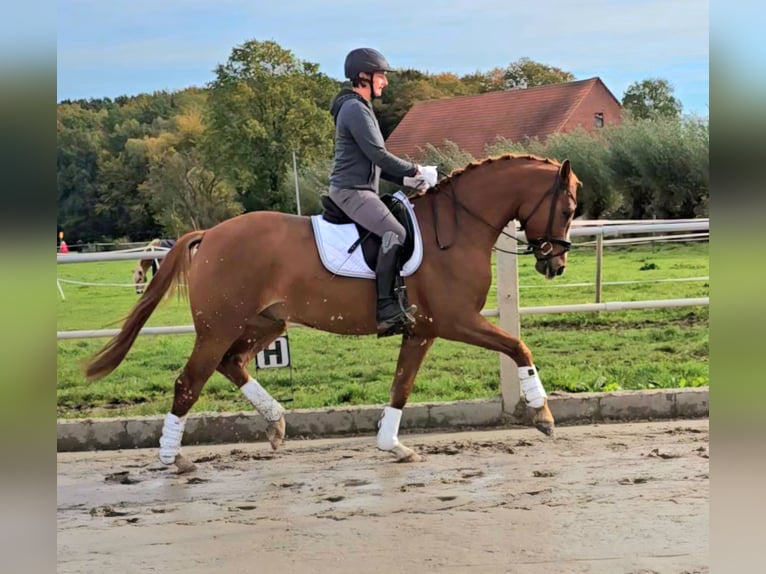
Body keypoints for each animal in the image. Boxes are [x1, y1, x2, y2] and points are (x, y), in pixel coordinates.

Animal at [88, 155, 584, 474]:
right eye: (568, 207)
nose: (555, 265)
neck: (456, 230)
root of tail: (209, 235)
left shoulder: (421, 331)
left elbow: (401, 385)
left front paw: (392, 445)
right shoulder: (455, 320)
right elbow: (518, 346)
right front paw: (543, 416)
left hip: (266, 322)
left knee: (233, 363)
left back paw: (275, 423)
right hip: (218, 328)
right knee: (189, 383)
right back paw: (173, 457)